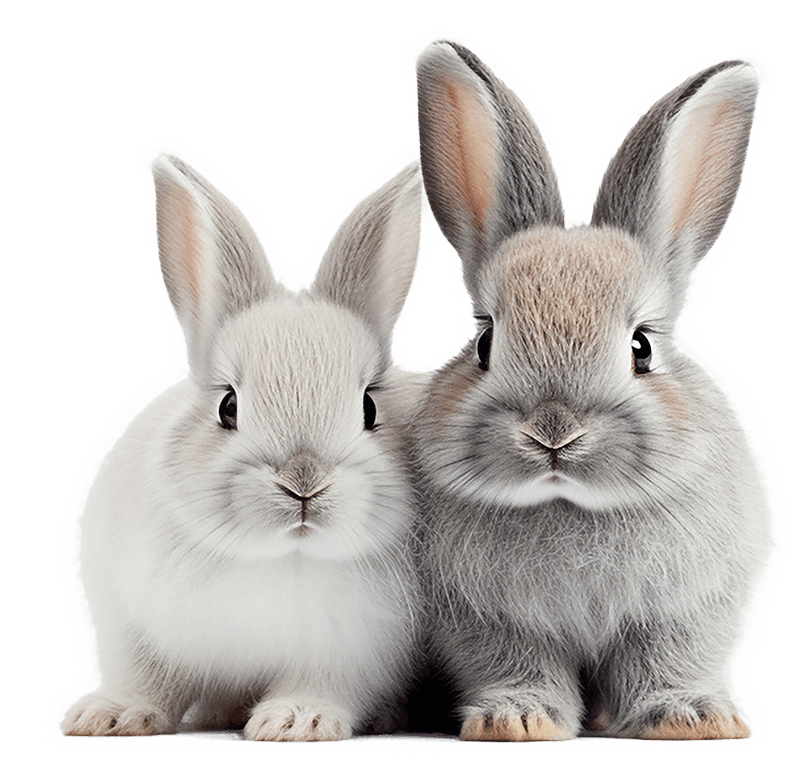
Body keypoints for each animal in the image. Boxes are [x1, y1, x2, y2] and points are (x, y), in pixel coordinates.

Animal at [58, 142, 426, 741]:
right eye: (227, 406)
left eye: (370, 408)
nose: (303, 483)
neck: (280, 557)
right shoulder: (139, 625)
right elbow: (149, 678)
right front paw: (107, 715)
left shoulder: (349, 655)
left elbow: (321, 684)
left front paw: (296, 721)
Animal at [407, 38, 784, 741]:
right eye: (485, 343)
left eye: (642, 348)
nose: (553, 431)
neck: (572, 506)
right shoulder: (492, 624)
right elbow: (519, 667)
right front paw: (517, 722)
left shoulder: (685, 611)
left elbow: (666, 662)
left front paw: (690, 719)